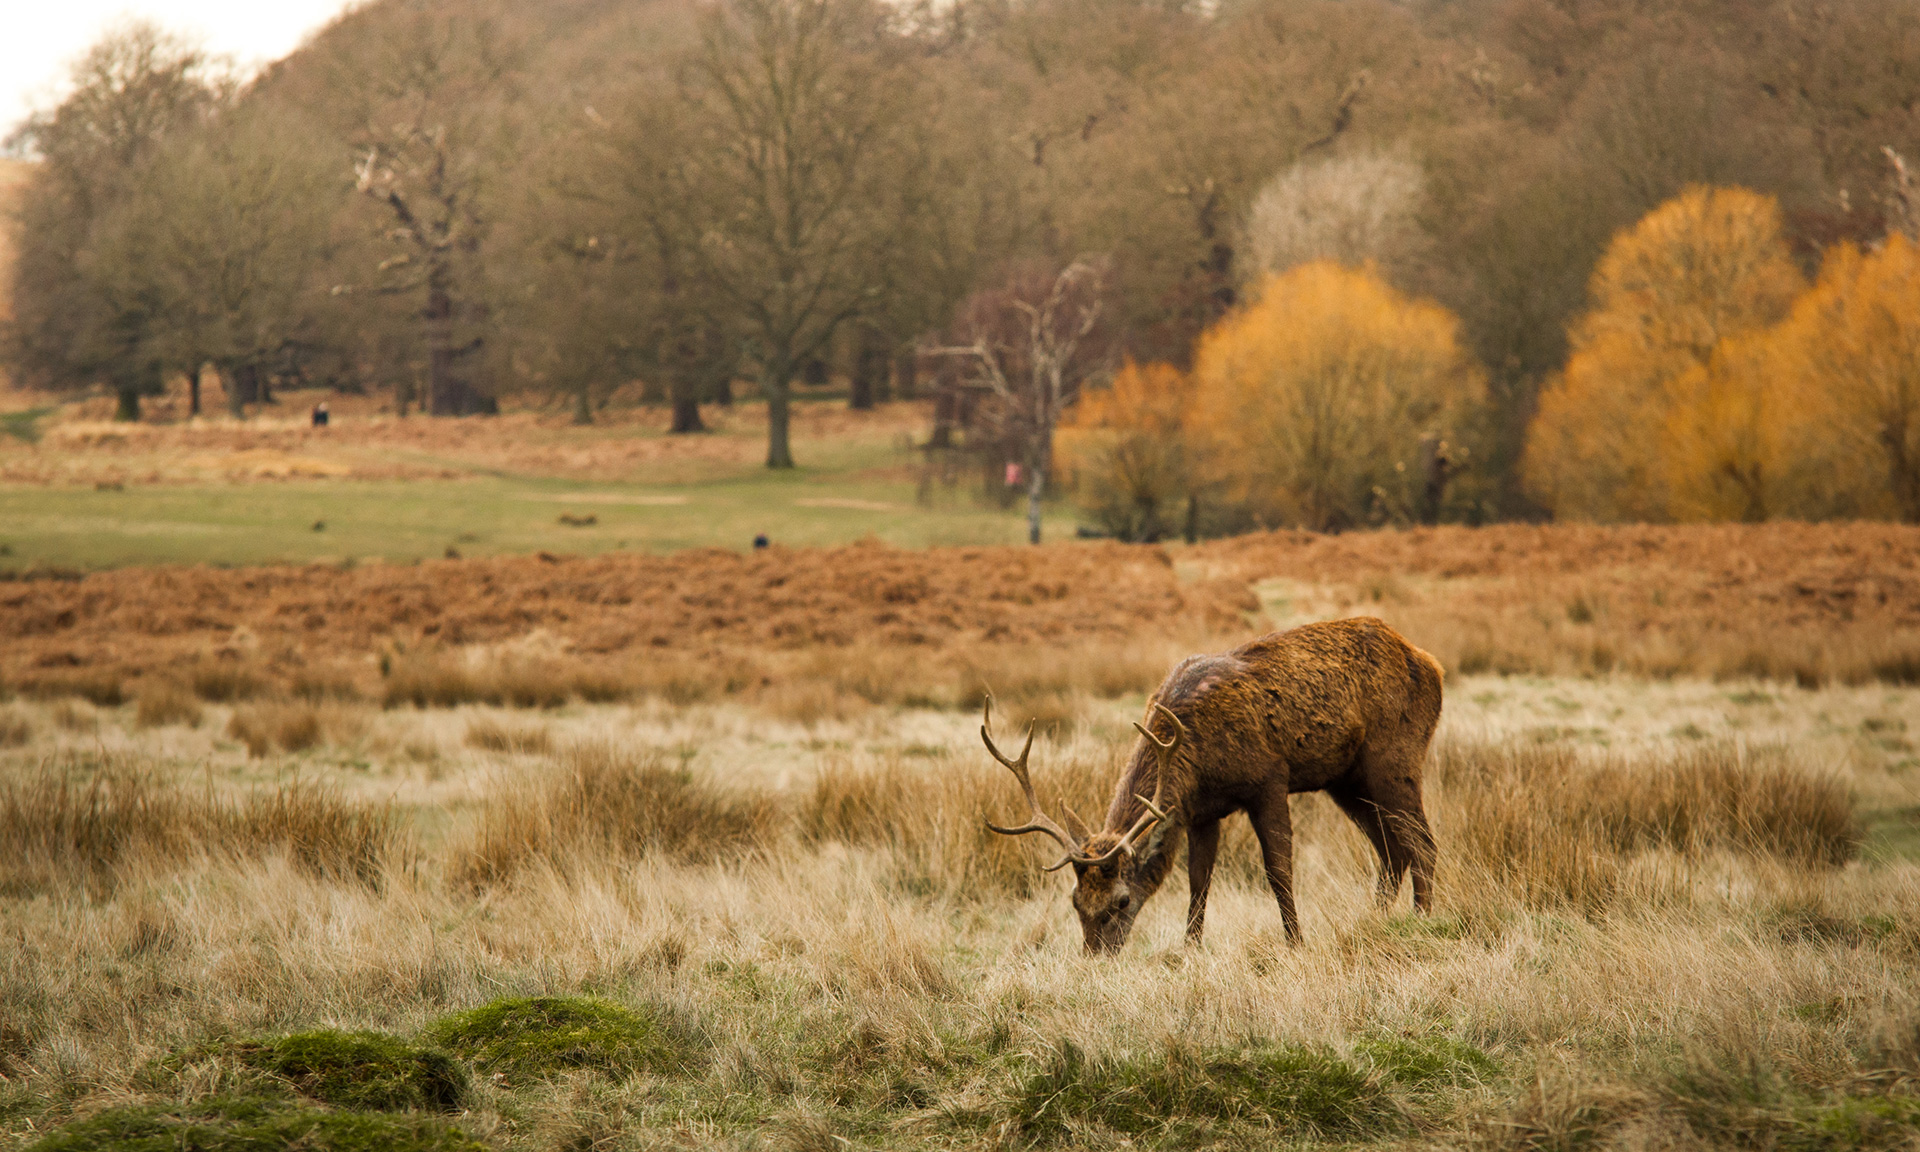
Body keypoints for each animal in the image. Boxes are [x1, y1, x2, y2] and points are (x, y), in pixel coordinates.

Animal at [990, 618, 1443, 948]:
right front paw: (1190, 947)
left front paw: (1295, 941)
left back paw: (1420, 920)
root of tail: (1431, 664)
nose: (1096, 954)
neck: (1196, 760)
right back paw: (1376, 918)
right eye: (1075, 901)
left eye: (1121, 900)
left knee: (1421, 841)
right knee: (1390, 849)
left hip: (1394, 756)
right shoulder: (1201, 811)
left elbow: (1279, 870)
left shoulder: (1269, 779)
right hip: (1345, 780)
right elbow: (1199, 879)